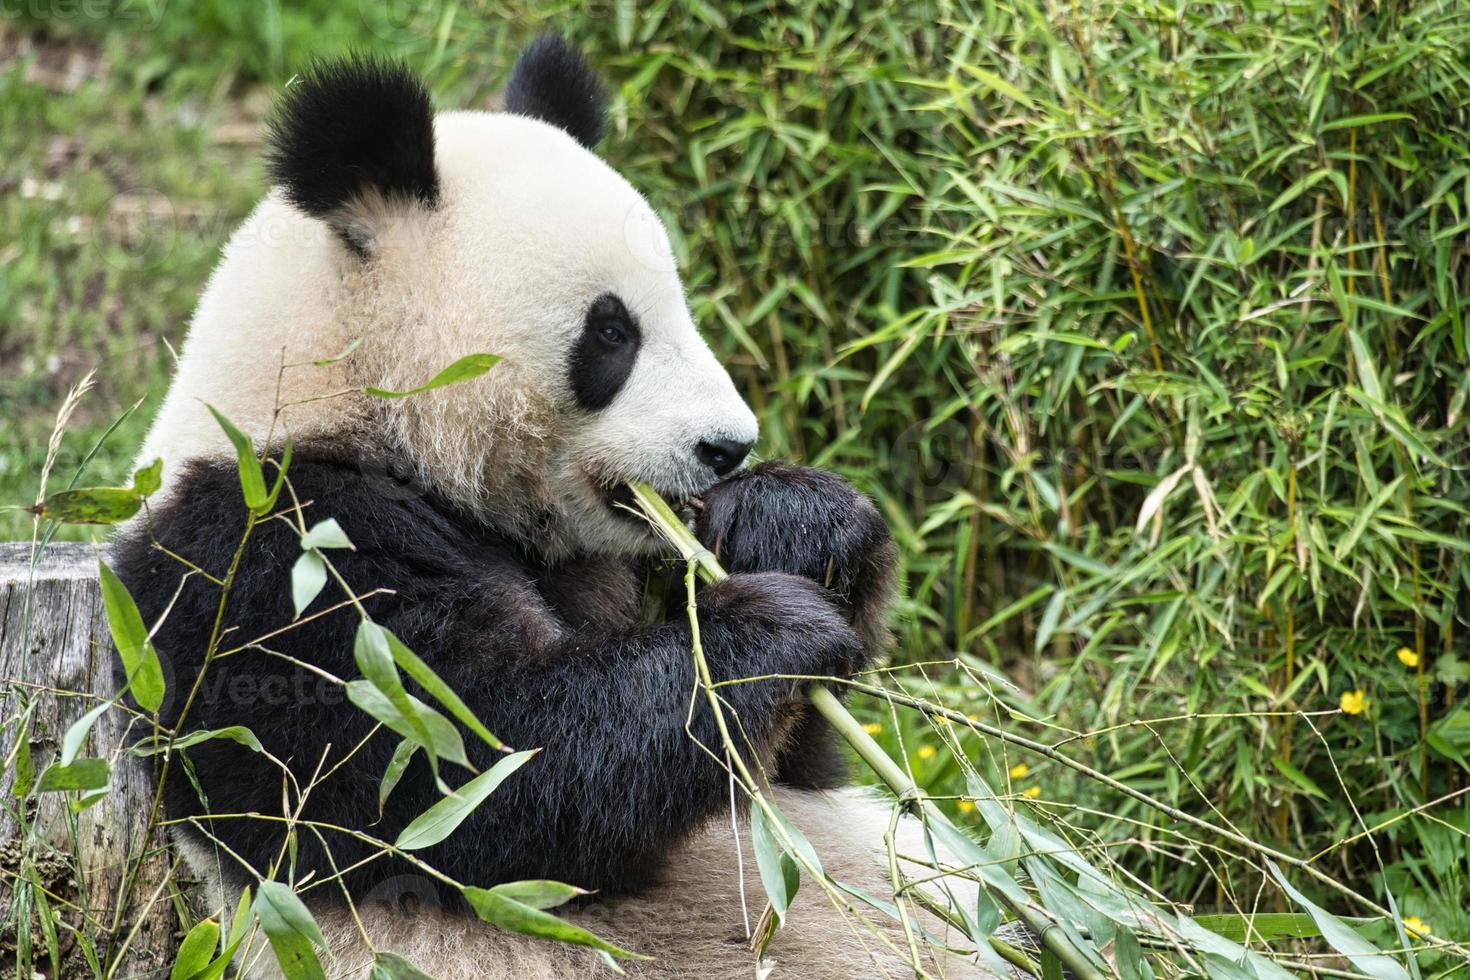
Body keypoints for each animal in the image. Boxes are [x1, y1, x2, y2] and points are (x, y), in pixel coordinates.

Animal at [111, 34, 987, 975]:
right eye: (612, 332)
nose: (728, 445)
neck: (352, 403)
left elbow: (788, 773)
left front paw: (793, 524)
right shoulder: (272, 549)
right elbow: (475, 769)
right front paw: (767, 631)